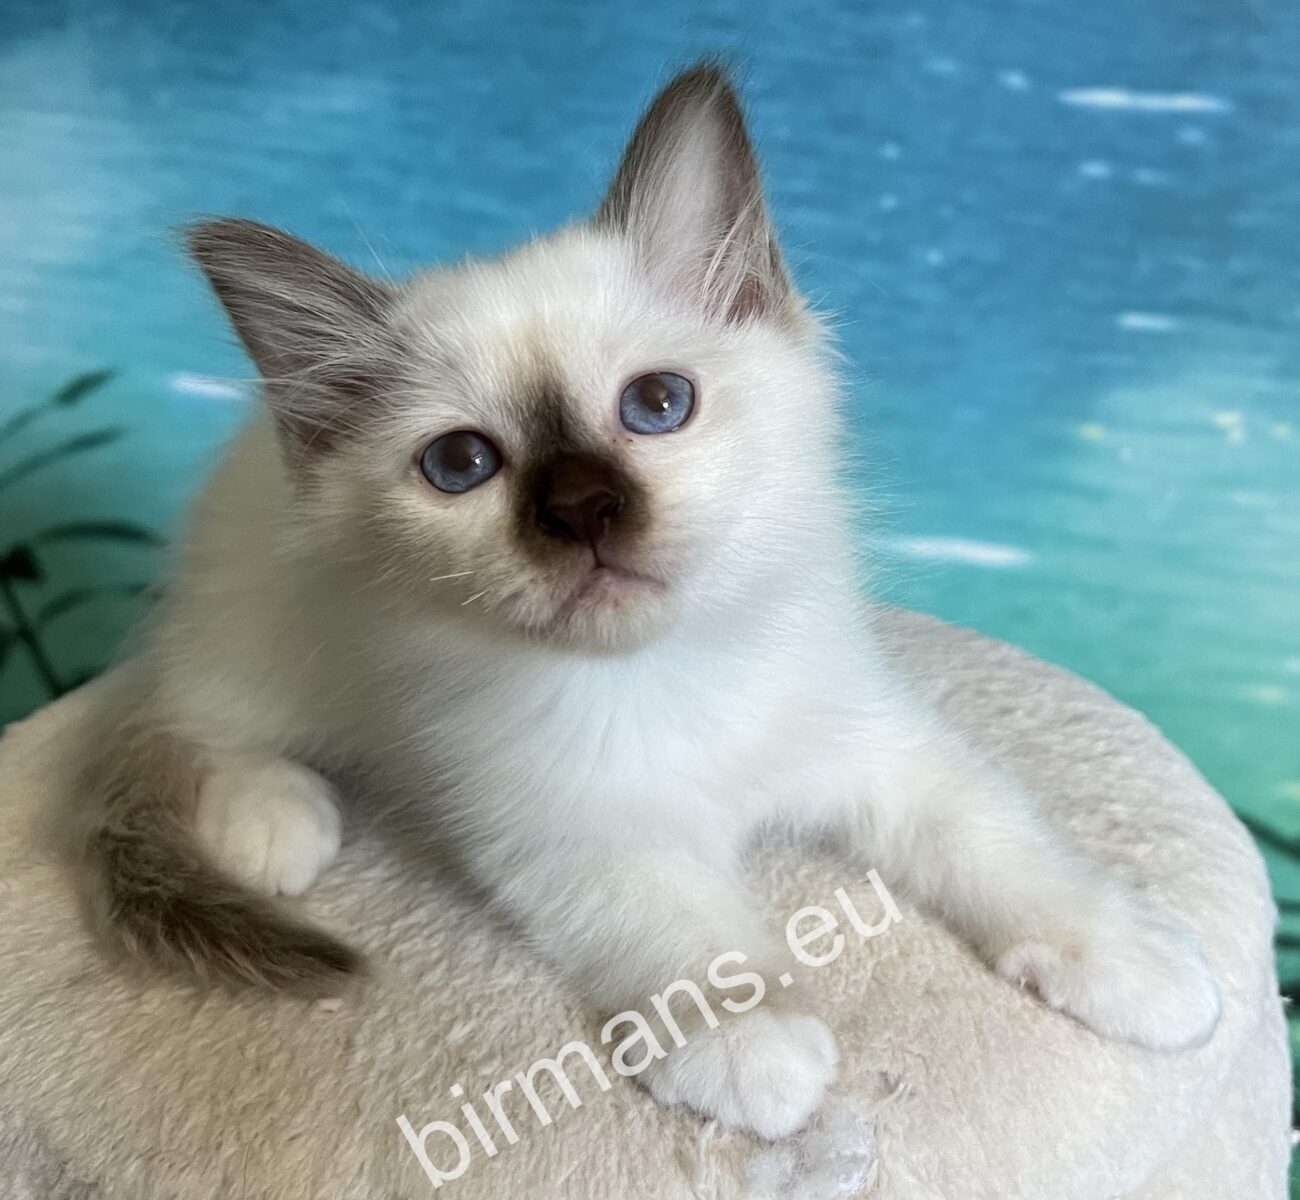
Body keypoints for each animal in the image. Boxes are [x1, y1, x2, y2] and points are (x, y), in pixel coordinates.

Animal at [76, 62, 1220, 1140]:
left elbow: (999, 845)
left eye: (657, 405)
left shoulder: (879, 744)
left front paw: (1136, 963)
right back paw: (275, 821)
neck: (674, 672)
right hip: (262, 652)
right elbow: (678, 928)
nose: (584, 511)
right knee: (191, 722)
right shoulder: (575, 834)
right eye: (461, 465)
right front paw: (749, 1042)